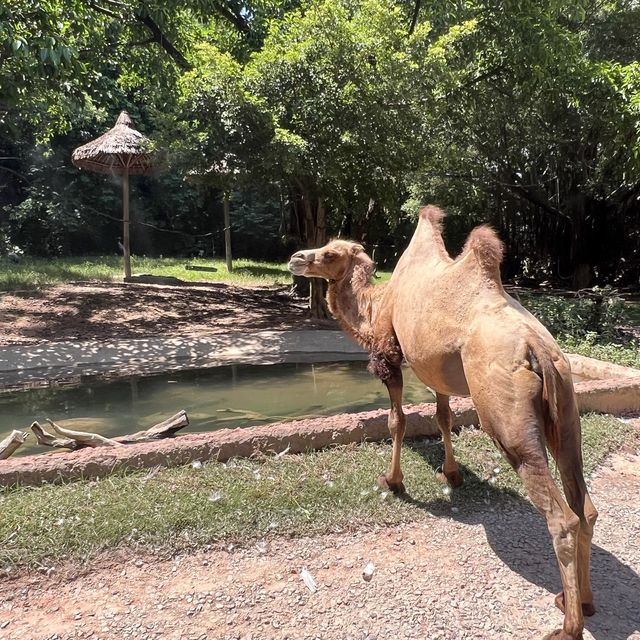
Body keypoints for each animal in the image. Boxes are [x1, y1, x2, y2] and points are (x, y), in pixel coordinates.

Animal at [290, 206, 600, 640]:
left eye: (331, 253)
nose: (296, 258)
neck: (377, 304)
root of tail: (536, 346)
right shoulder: (435, 369)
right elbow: (443, 416)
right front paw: (451, 474)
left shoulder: (389, 352)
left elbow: (397, 420)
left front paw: (394, 481)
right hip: (566, 404)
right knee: (584, 505)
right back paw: (582, 603)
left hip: (506, 416)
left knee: (562, 517)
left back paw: (567, 627)